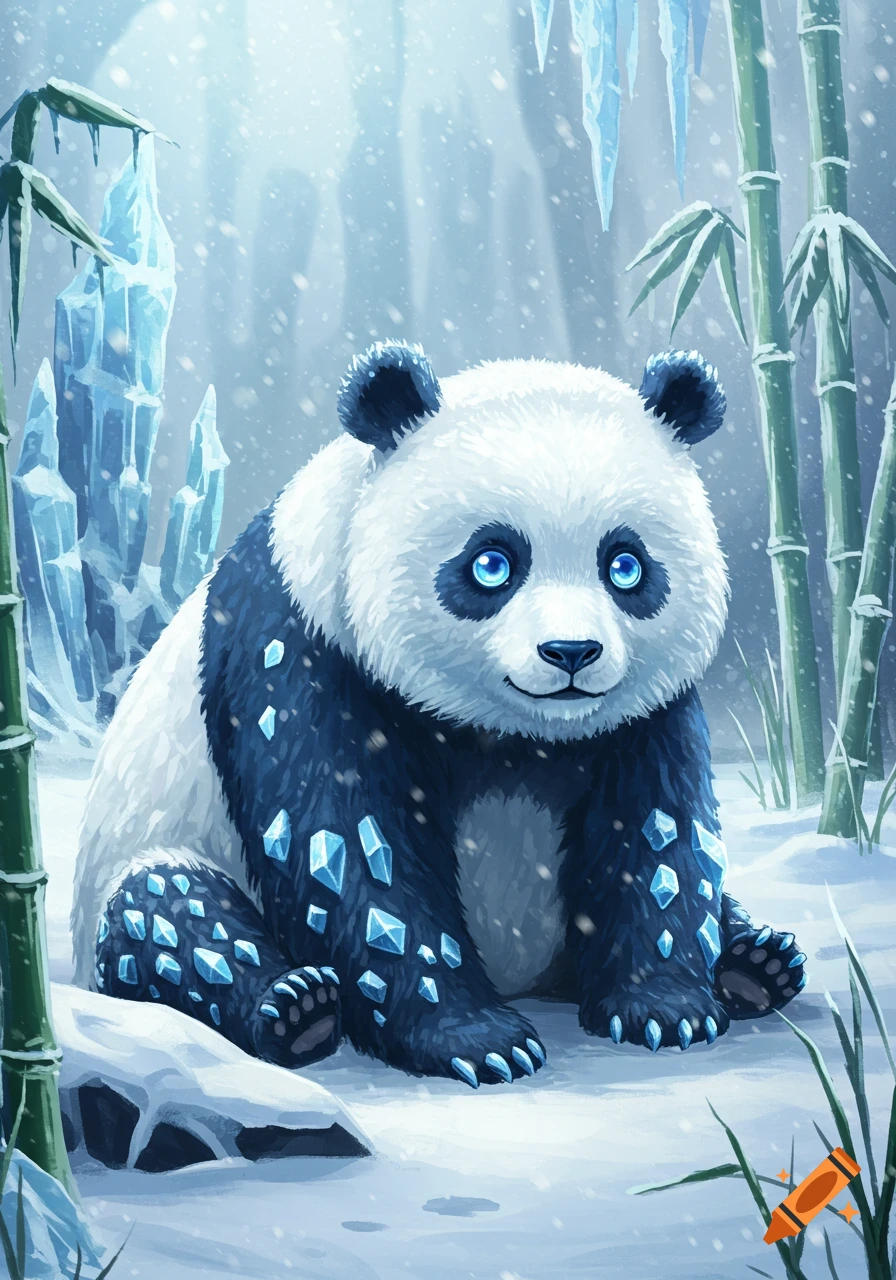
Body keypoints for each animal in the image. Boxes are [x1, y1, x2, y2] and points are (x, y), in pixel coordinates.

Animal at [71, 341, 806, 1088]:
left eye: (626, 566)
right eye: (492, 563)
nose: (571, 652)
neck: (520, 735)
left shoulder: (645, 714)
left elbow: (659, 835)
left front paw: (666, 1006)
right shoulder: (298, 649)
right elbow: (349, 851)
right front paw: (475, 1040)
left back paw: (758, 963)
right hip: (142, 854)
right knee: (166, 909)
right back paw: (296, 1009)